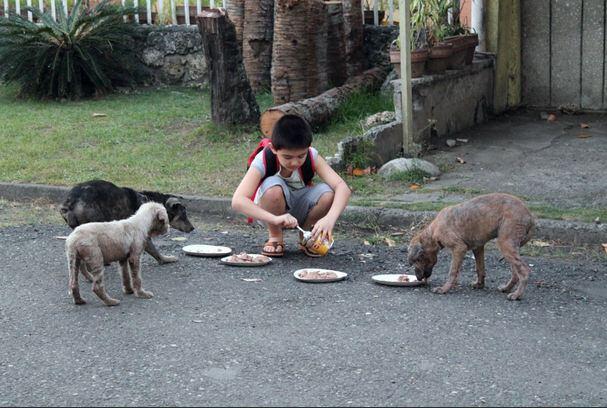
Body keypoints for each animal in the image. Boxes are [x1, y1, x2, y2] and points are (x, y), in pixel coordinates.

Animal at [59, 179, 195, 264]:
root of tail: (70, 203)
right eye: (183, 215)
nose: (193, 228)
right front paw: (165, 259)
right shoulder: (142, 234)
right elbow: (153, 250)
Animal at [408, 193, 536, 302]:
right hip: (510, 247)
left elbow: (452, 271)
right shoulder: (478, 248)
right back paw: (507, 288)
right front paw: (479, 284)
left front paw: (444, 289)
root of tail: (530, 216)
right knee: (516, 272)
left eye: (416, 260)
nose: (418, 278)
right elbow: (480, 268)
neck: (433, 233)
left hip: (505, 243)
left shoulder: (459, 248)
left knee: (524, 271)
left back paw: (517, 295)